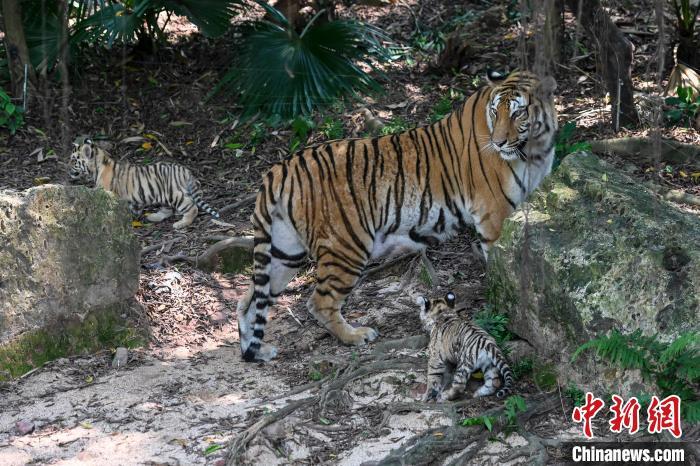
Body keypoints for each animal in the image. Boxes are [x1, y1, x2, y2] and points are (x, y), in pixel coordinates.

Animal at [238, 71, 556, 362]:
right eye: (495, 112)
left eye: (518, 112)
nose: (499, 143)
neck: (535, 147)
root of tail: (280, 168)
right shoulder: (495, 213)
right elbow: (501, 265)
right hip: (347, 246)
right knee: (318, 301)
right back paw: (355, 335)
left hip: (284, 251)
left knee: (249, 300)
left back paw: (256, 350)